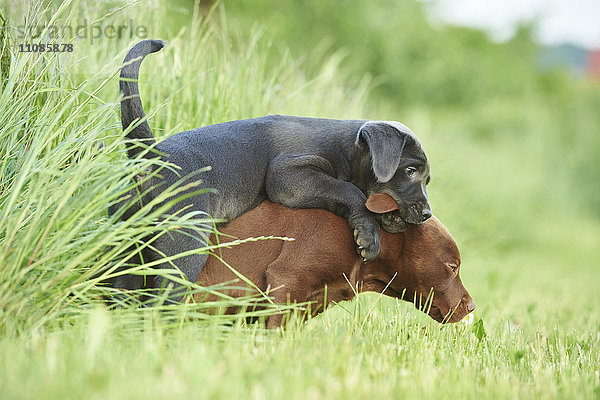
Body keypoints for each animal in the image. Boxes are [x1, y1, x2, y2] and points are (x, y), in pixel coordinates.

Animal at [111, 39, 432, 292]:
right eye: (410, 171)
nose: (428, 214)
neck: (346, 149)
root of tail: (151, 157)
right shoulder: (287, 176)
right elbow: (348, 190)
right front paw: (368, 236)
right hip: (186, 242)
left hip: (125, 248)